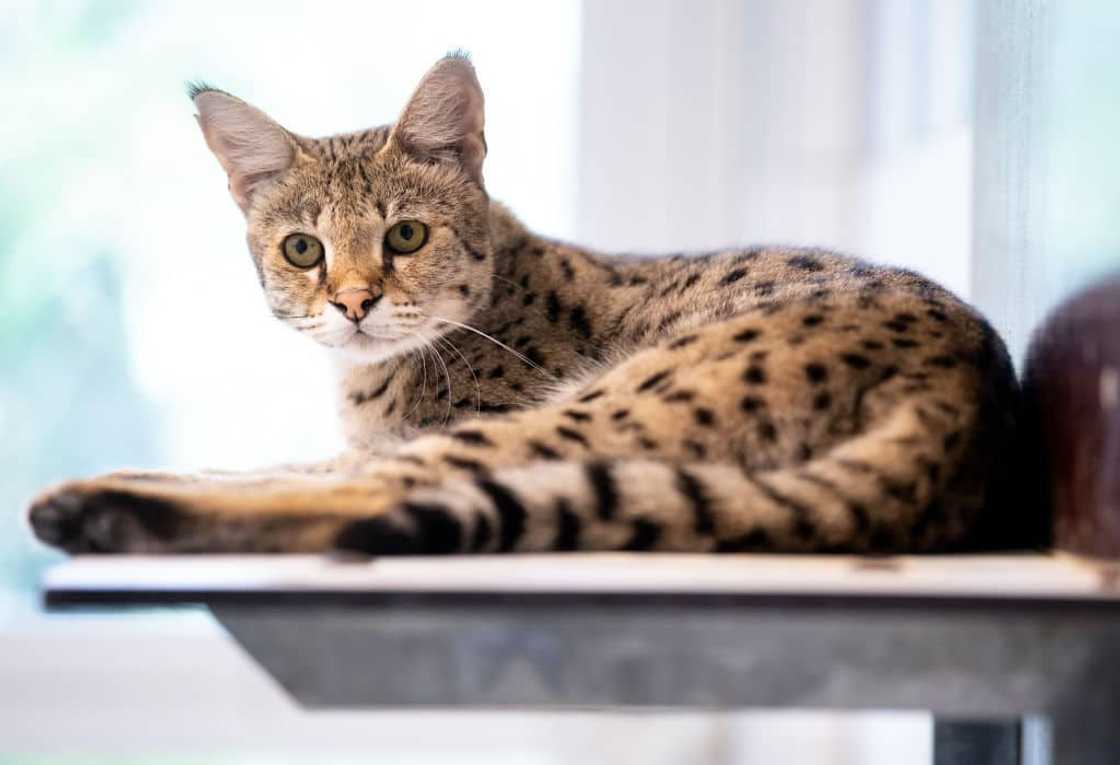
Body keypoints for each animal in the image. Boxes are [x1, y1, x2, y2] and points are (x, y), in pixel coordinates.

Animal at [26, 55, 1025, 555]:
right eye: (303, 249)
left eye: (405, 236)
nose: (353, 302)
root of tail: (973, 391)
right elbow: (280, 459)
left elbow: (307, 467)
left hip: (604, 405)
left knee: (375, 494)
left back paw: (97, 507)